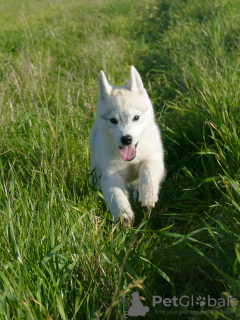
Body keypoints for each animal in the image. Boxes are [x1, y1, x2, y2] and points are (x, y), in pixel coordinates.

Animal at [90, 65, 165, 225]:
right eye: (113, 120)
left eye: (136, 117)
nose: (126, 139)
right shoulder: (110, 174)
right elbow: (116, 194)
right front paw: (123, 213)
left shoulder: (154, 159)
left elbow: (148, 171)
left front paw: (148, 195)